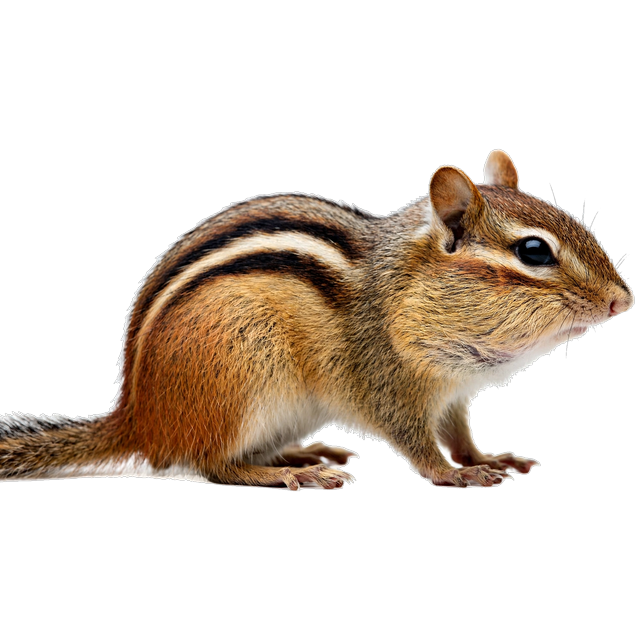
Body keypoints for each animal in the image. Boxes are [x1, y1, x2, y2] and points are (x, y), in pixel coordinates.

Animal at [0, 149, 633, 489]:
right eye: (534, 252)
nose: (622, 302)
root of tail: (138, 417)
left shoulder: (454, 395)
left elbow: (460, 434)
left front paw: (485, 459)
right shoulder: (387, 383)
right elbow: (419, 443)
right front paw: (453, 475)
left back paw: (301, 454)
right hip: (241, 381)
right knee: (211, 464)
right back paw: (285, 474)